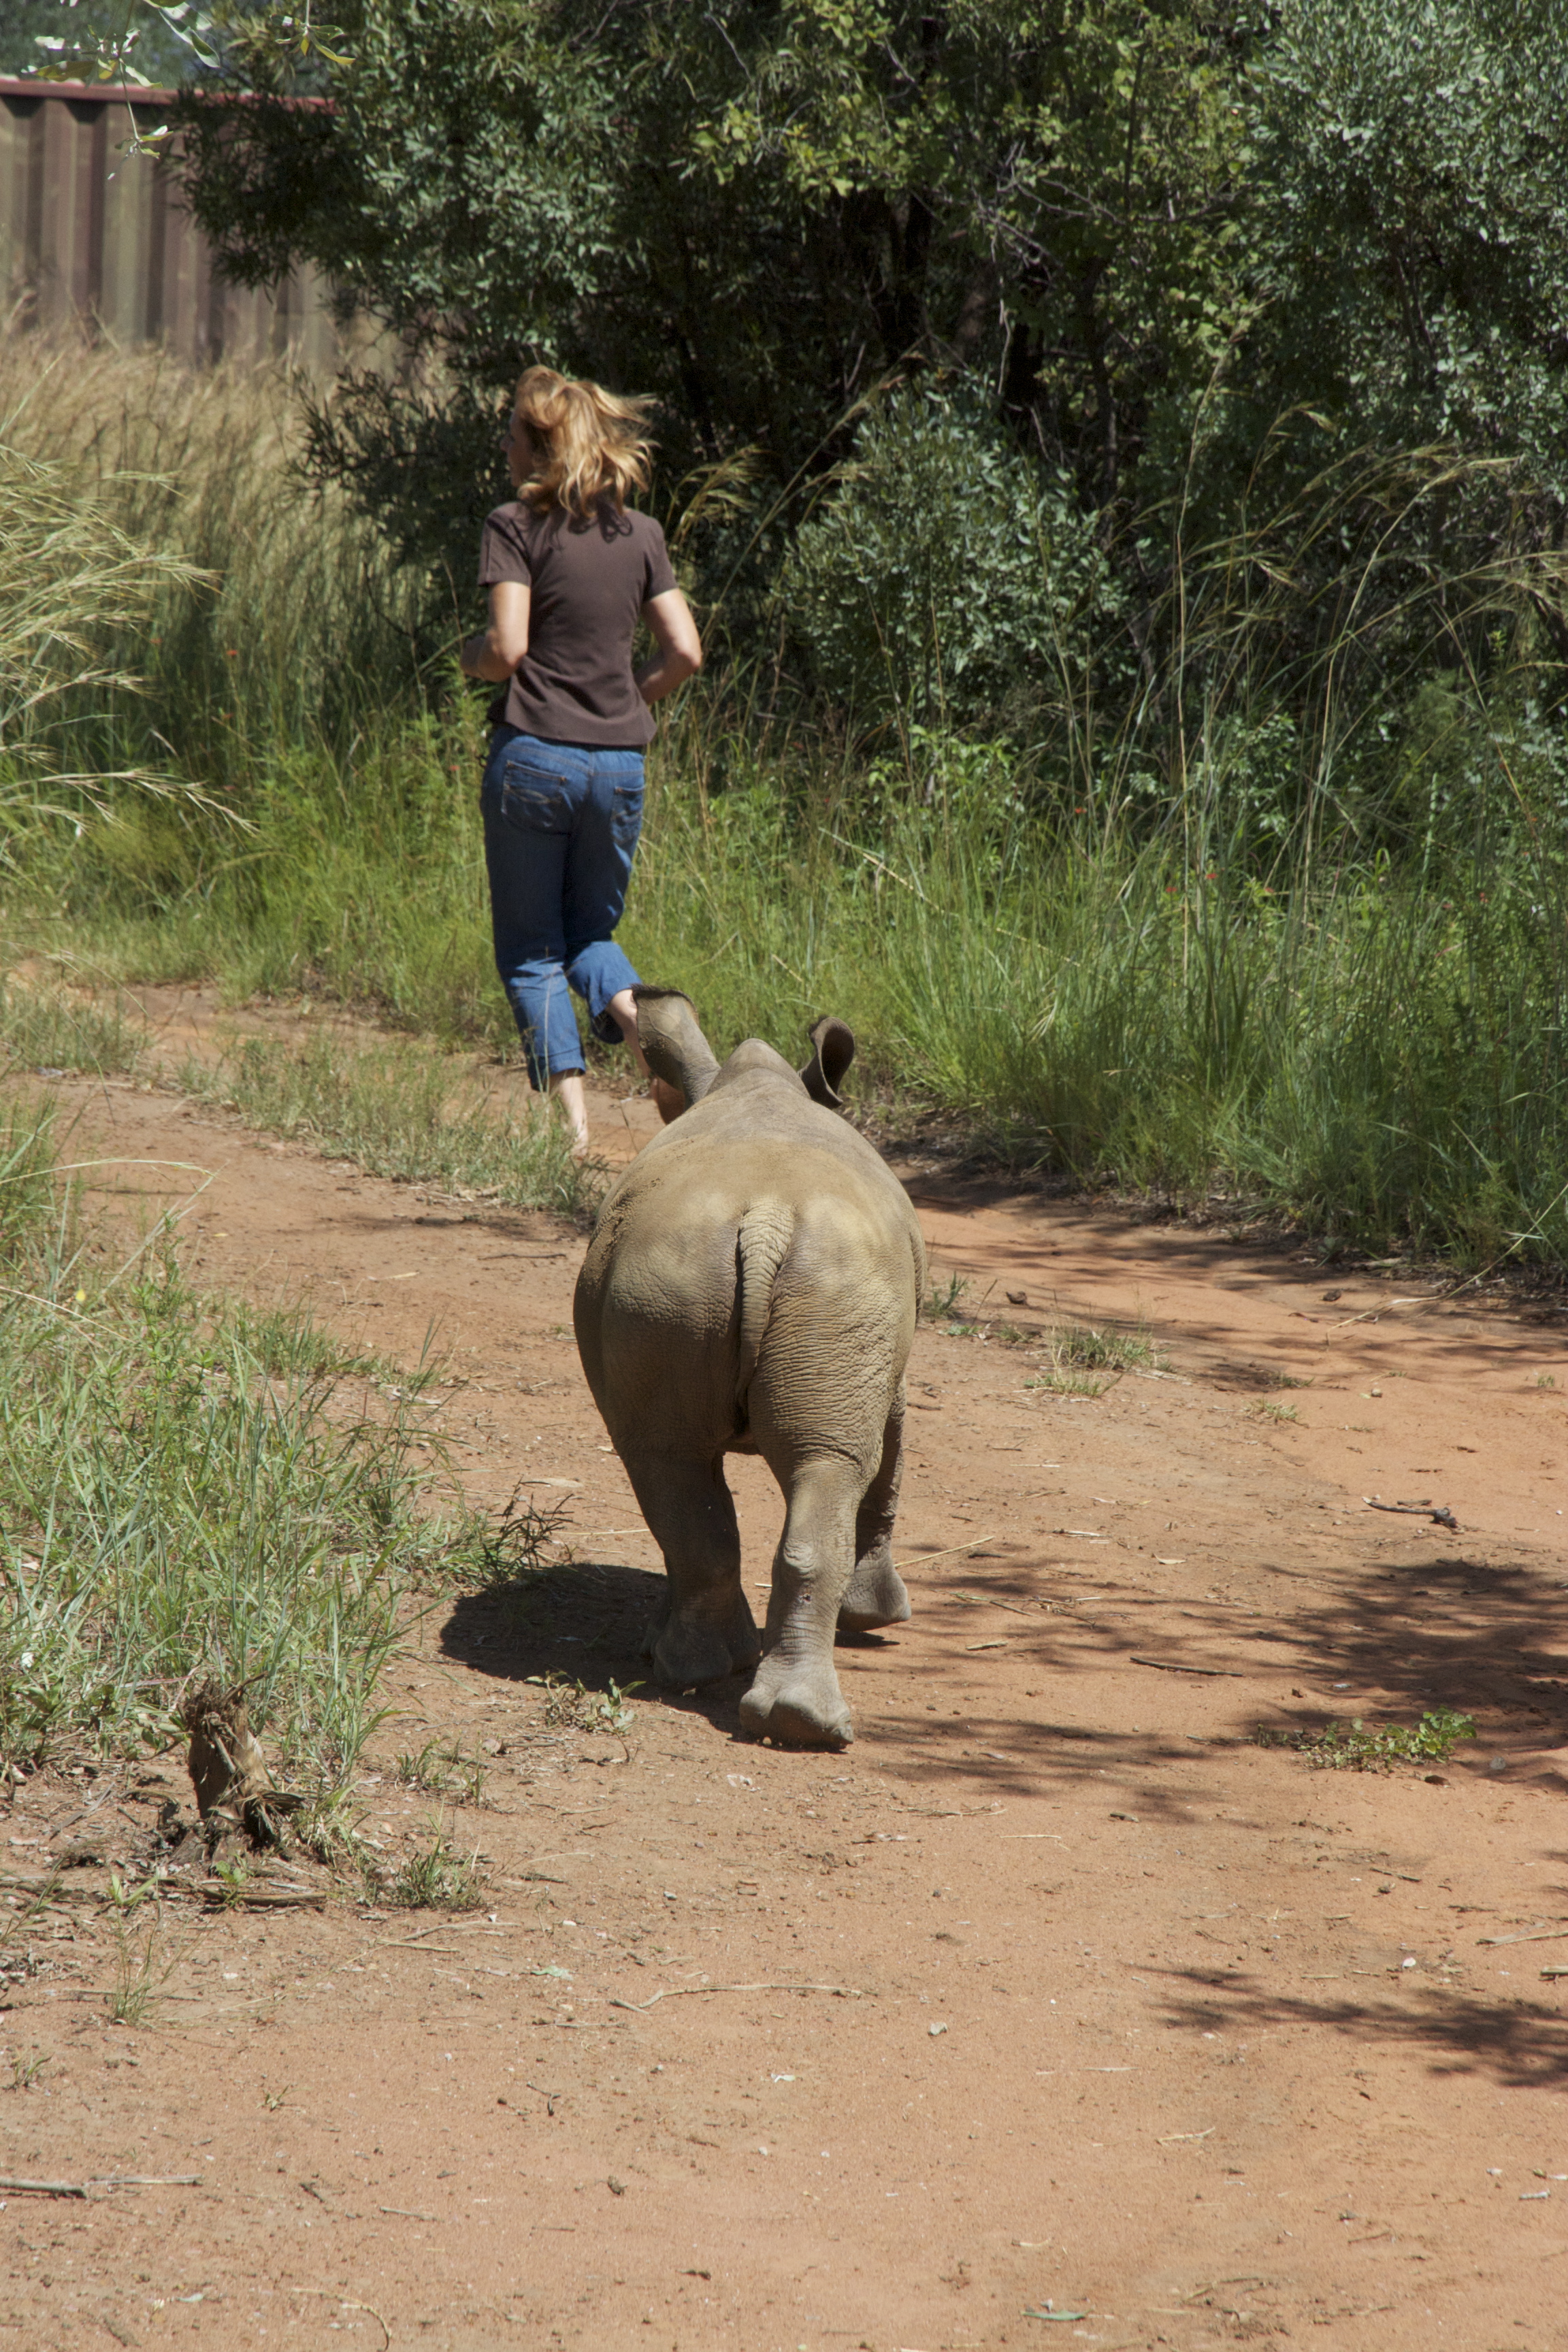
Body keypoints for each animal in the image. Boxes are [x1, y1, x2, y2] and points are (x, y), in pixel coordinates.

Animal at [571, 987, 926, 1750]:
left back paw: (725, 1684)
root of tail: (765, 1220)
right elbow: (888, 1467)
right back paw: (777, 1708)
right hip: (813, 1281)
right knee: (810, 1467)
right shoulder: (891, 1369)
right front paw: (877, 1618)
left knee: (671, 1466)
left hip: (680, 1277)